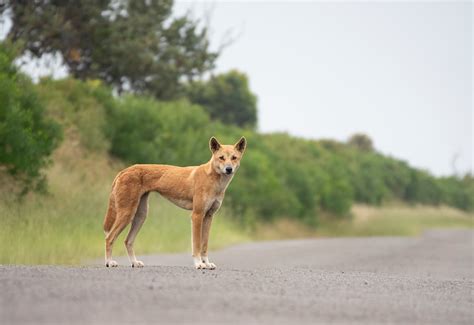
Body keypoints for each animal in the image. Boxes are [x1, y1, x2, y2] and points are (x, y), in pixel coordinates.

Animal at [103, 135, 244, 268]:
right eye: (221, 157)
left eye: (234, 157)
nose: (229, 169)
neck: (214, 180)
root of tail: (124, 170)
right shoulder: (197, 215)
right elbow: (197, 245)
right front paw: (199, 264)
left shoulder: (209, 216)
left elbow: (204, 246)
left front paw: (207, 263)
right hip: (127, 213)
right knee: (109, 238)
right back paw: (109, 262)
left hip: (140, 215)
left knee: (128, 241)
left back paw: (134, 262)